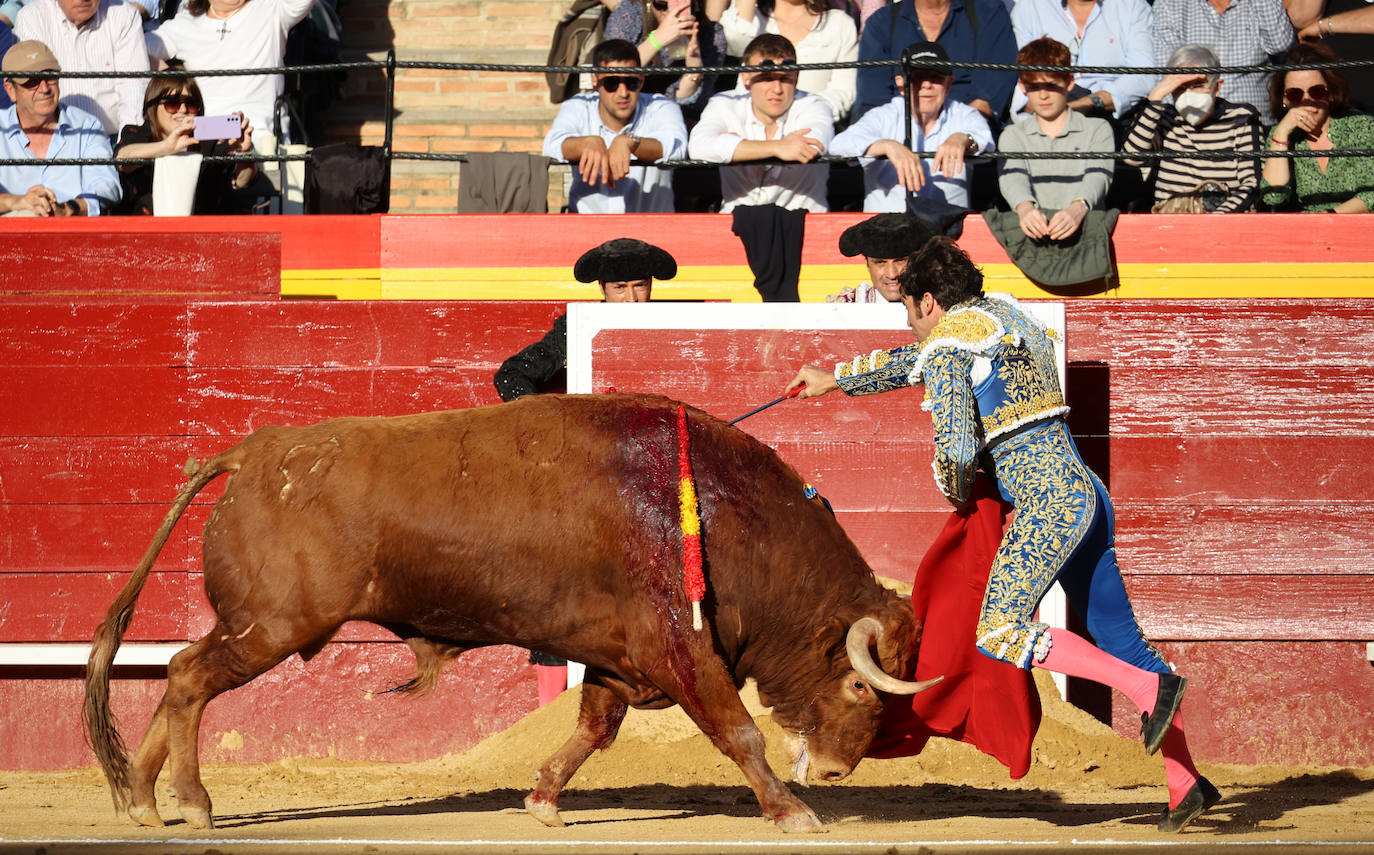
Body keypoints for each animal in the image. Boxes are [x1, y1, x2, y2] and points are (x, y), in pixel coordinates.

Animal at [83, 395, 934, 835]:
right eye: (861, 685)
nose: (837, 768)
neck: (727, 519)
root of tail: (254, 452)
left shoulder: (619, 653)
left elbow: (593, 728)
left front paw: (543, 798)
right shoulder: (681, 647)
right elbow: (739, 731)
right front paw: (793, 810)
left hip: (256, 626)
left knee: (174, 679)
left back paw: (143, 800)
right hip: (271, 625)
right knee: (188, 676)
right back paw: (194, 804)